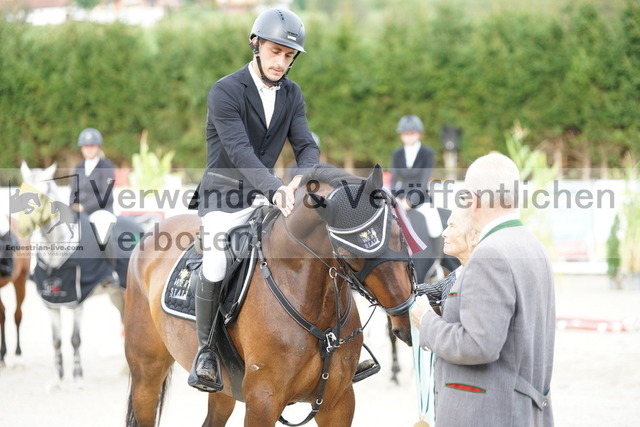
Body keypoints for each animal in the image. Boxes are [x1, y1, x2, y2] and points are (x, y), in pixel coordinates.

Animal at [124, 165, 416, 427]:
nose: (406, 319)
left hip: (225, 388)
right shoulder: (263, 401)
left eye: (397, 232)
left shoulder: (338, 402)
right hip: (146, 373)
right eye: (348, 255)